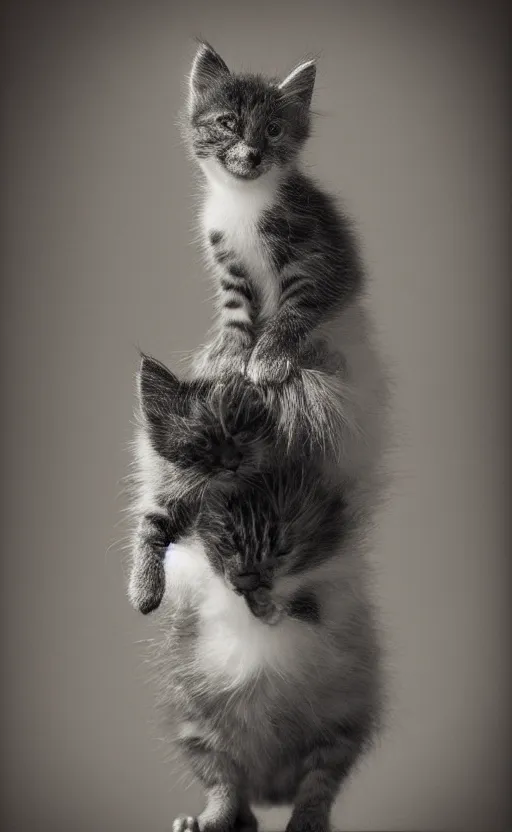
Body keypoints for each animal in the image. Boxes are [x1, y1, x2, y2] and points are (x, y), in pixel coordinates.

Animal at [130, 354, 278, 616]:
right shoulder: (165, 503)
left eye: (240, 433)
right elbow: (147, 529)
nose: (232, 462)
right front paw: (144, 590)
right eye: (203, 442)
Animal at [150, 462, 382, 832]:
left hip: (336, 732)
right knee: (225, 787)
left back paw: (307, 822)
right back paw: (208, 821)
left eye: (283, 550)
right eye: (228, 543)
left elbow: (297, 608)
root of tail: (270, 791)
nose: (245, 581)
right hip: (199, 729)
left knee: (317, 785)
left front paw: (268, 606)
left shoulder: (323, 601)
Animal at [185, 40, 372, 448]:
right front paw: (230, 353)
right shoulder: (226, 259)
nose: (253, 154)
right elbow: (235, 308)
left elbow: (294, 310)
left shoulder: (318, 257)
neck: (243, 201)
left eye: (273, 130)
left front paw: (269, 357)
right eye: (228, 123)